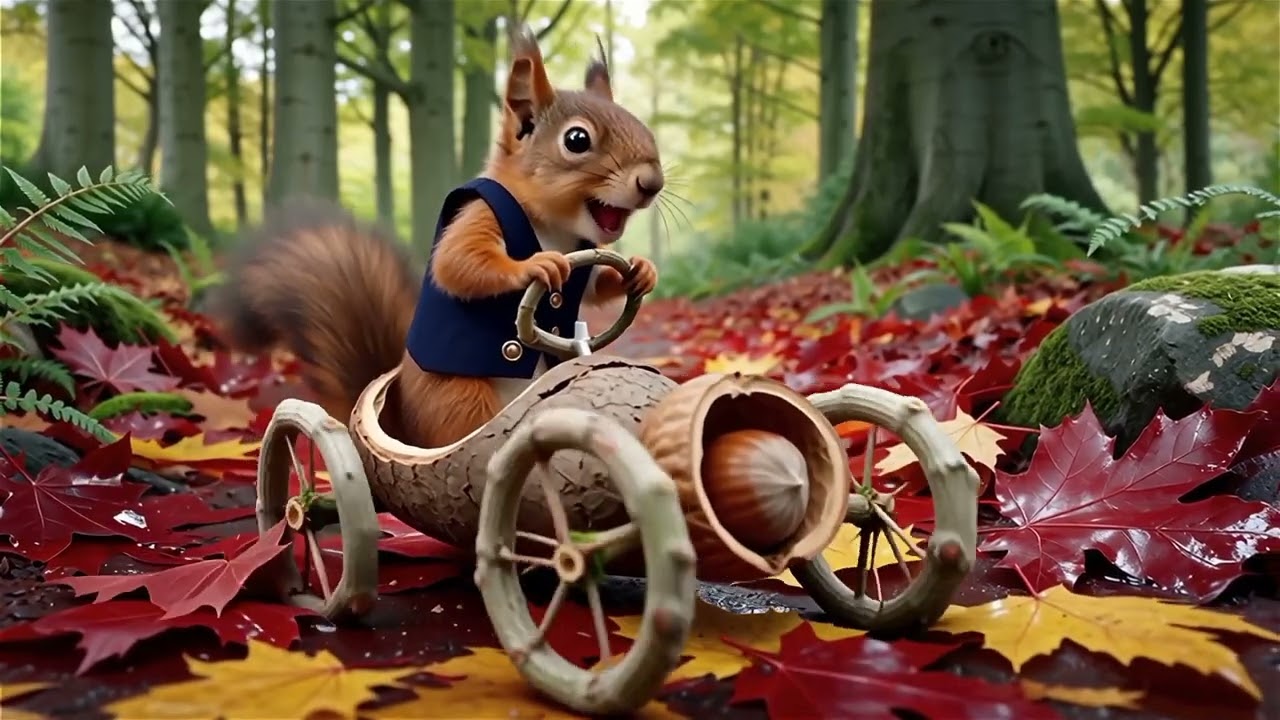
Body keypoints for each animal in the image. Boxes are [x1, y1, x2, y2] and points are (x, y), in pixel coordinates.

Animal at [209, 26, 664, 450]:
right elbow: (459, 264)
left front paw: (640, 271)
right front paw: (535, 265)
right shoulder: (478, 216)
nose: (652, 183)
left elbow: (592, 287)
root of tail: (402, 429)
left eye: (642, 126)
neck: (555, 227)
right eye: (576, 140)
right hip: (457, 399)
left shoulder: (584, 253)